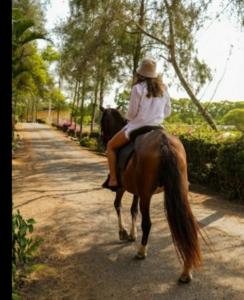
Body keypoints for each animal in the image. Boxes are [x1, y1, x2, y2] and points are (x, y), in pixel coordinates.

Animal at [99, 106, 202, 282]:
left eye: (101, 122)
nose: (104, 140)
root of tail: (163, 141)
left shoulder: (123, 188)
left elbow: (117, 205)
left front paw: (123, 232)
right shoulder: (137, 191)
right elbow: (133, 210)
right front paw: (132, 234)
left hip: (147, 194)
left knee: (147, 223)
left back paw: (141, 251)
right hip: (178, 191)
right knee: (186, 224)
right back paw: (187, 270)